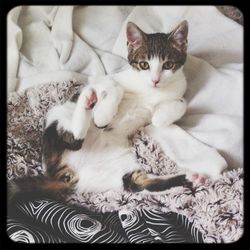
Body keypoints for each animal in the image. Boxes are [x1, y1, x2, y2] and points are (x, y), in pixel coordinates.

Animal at [7, 19, 192, 203]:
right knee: (73, 139)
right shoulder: (102, 79)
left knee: (134, 183)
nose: (155, 80)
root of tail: (62, 175)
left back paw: (188, 180)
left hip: (118, 166)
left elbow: (182, 102)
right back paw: (87, 102)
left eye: (168, 65)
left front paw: (160, 117)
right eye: (144, 65)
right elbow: (115, 86)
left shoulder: (178, 90)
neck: (150, 91)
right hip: (56, 117)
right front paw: (103, 116)